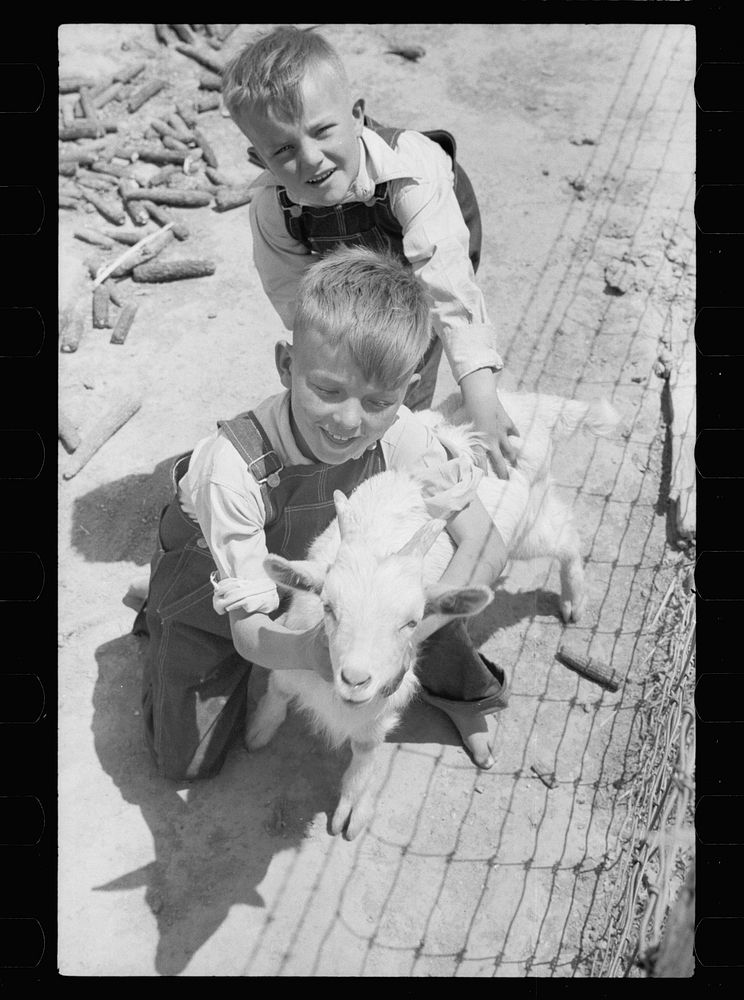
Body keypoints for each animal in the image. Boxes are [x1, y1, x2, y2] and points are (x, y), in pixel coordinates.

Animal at [247, 386, 620, 840]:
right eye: (329, 608)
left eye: (412, 621)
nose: (355, 679)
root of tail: (525, 406)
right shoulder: (294, 644)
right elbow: (279, 686)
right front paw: (259, 730)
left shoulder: (381, 705)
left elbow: (365, 750)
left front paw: (352, 808)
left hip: (525, 531)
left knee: (565, 533)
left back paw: (573, 598)